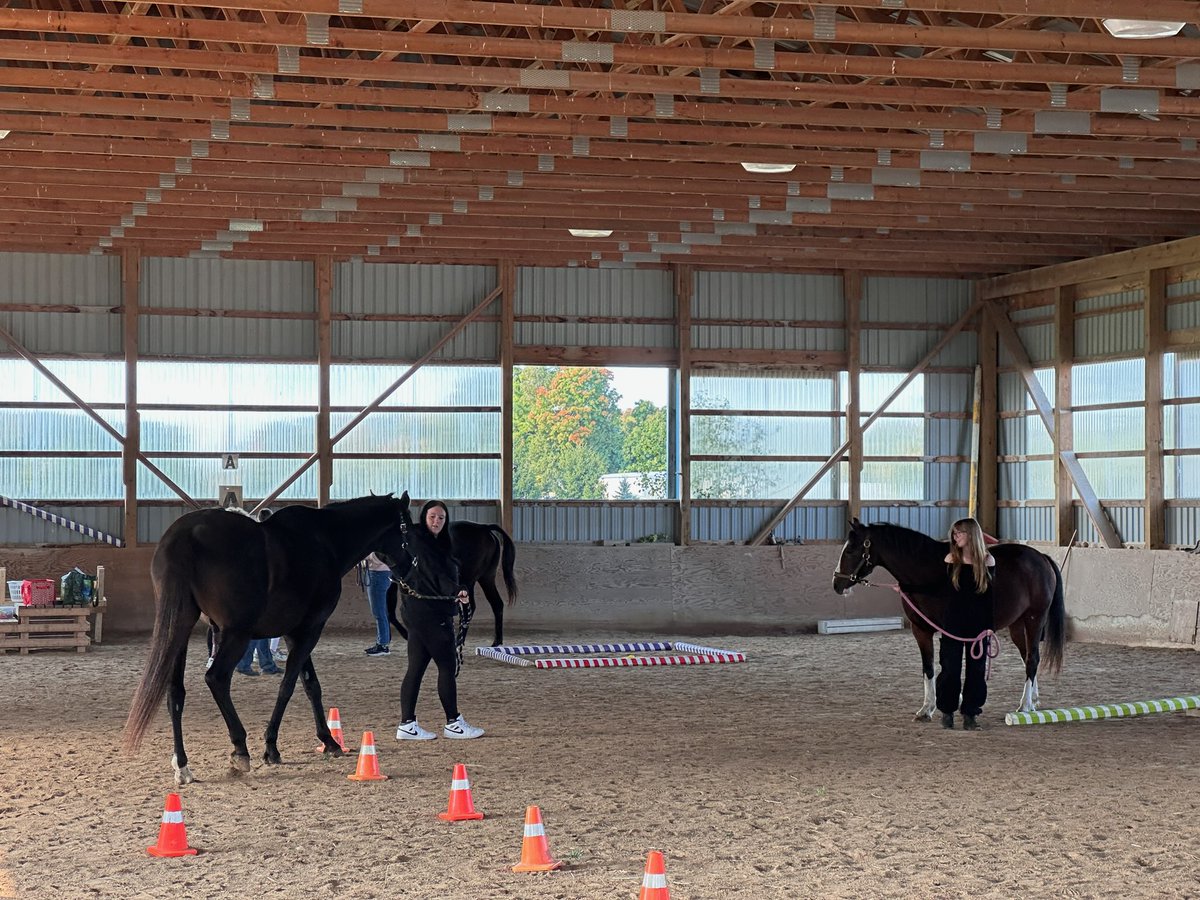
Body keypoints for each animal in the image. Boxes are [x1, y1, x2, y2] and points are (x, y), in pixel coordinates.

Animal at [123, 492, 416, 786]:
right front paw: (272, 747)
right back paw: (240, 750)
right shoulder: (310, 630)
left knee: (175, 693)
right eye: (409, 529)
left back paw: (182, 765)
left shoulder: (294, 632)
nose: (410, 568)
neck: (326, 540)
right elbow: (288, 686)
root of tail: (183, 535)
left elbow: (311, 685)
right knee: (216, 679)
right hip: (236, 634)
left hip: (180, 627)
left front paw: (329, 741)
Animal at [386, 519, 518, 648]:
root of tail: (484, 528)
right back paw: (496, 641)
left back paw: (460, 640)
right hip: (486, 577)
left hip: (469, 580)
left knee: (471, 607)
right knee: (496, 604)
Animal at [832, 518, 1065, 720]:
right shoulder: (921, 629)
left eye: (850, 550)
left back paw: (1024, 705)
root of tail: (1042, 558)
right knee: (1027, 656)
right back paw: (1033, 700)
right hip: (1017, 625)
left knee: (1032, 658)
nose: (837, 584)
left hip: (1035, 619)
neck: (928, 575)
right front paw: (926, 708)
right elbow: (928, 667)